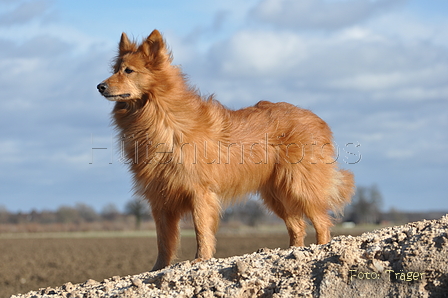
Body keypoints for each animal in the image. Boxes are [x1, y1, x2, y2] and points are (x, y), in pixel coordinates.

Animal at [97, 29, 354, 270]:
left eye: (128, 71)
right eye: (115, 69)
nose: (100, 86)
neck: (160, 117)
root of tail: (318, 120)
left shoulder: (199, 193)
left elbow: (201, 230)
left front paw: (200, 260)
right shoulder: (160, 199)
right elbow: (164, 242)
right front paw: (158, 269)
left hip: (299, 186)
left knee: (322, 222)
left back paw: (317, 250)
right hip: (277, 194)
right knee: (298, 226)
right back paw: (291, 253)